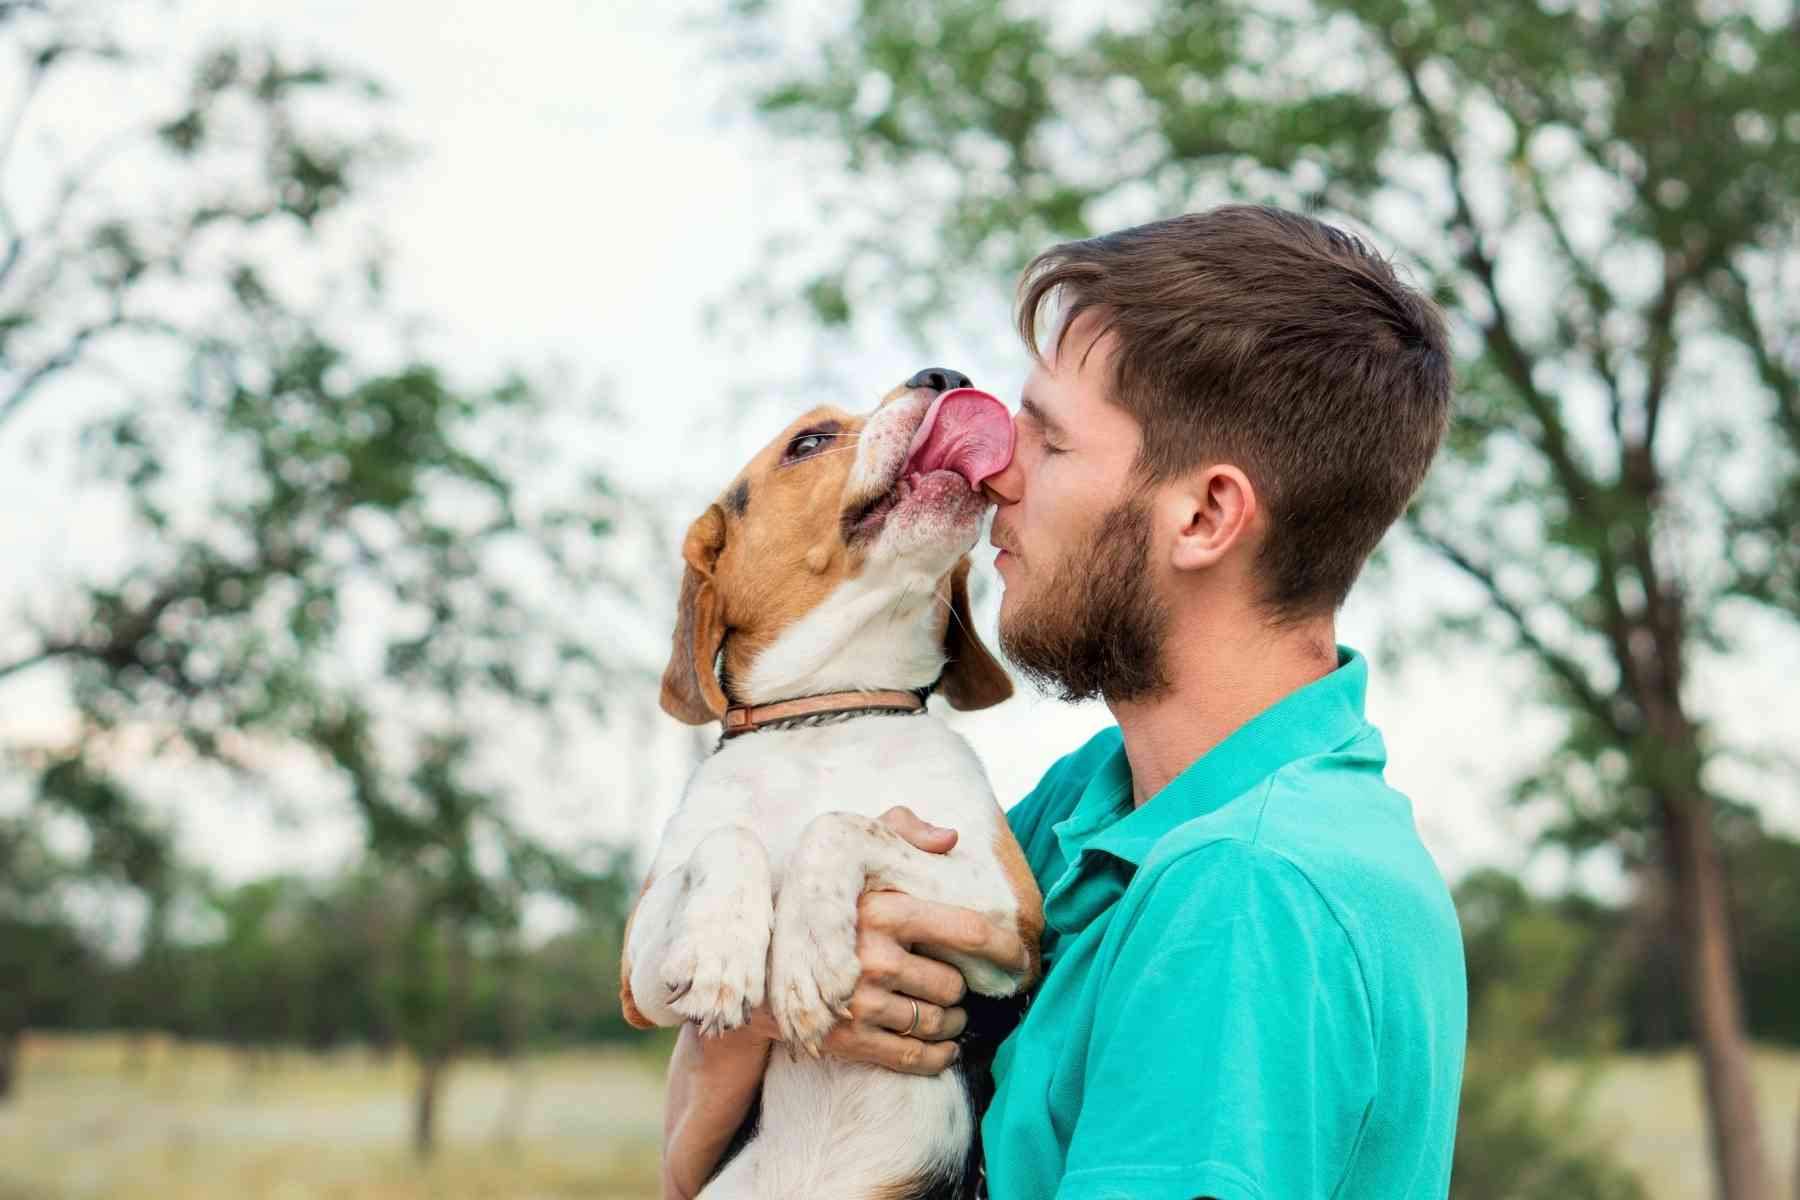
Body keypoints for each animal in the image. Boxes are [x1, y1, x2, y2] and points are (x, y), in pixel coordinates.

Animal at [619, 370, 1044, 1194]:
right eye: (808, 442)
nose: (945, 376)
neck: (832, 712)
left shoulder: (1014, 918)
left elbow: (840, 823)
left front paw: (810, 951)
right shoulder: (639, 977)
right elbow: (728, 839)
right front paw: (721, 949)